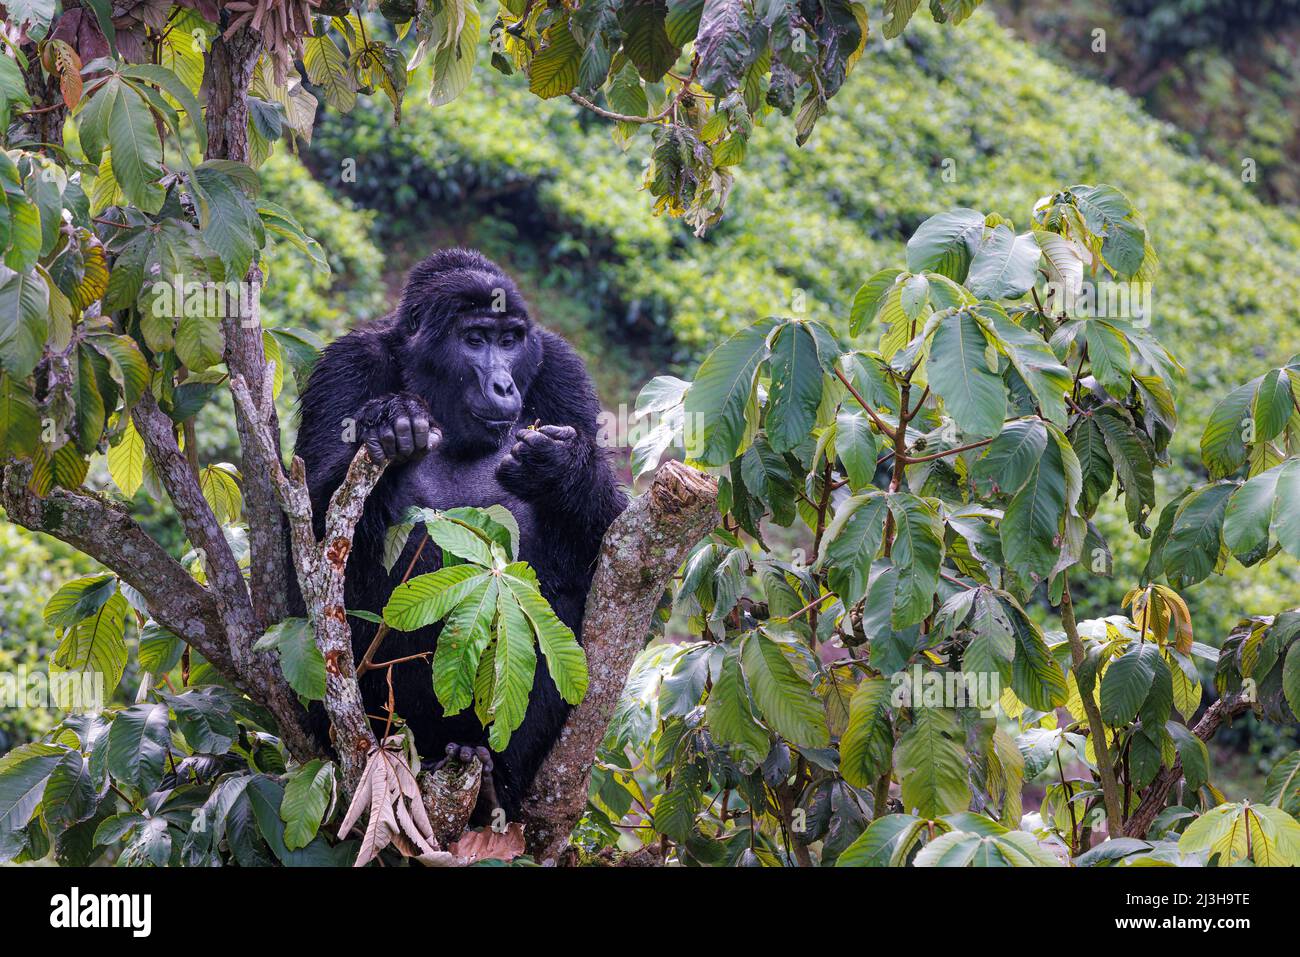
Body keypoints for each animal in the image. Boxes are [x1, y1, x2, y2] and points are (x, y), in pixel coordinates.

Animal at [292, 250, 626, 816]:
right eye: (474, 340)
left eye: (510, 341)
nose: (504, 386)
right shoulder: (345, 365)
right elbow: (311, 545)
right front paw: (392, 420)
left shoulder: (562, 367)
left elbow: (611, 550)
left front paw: (564, 469)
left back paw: (494, 775)